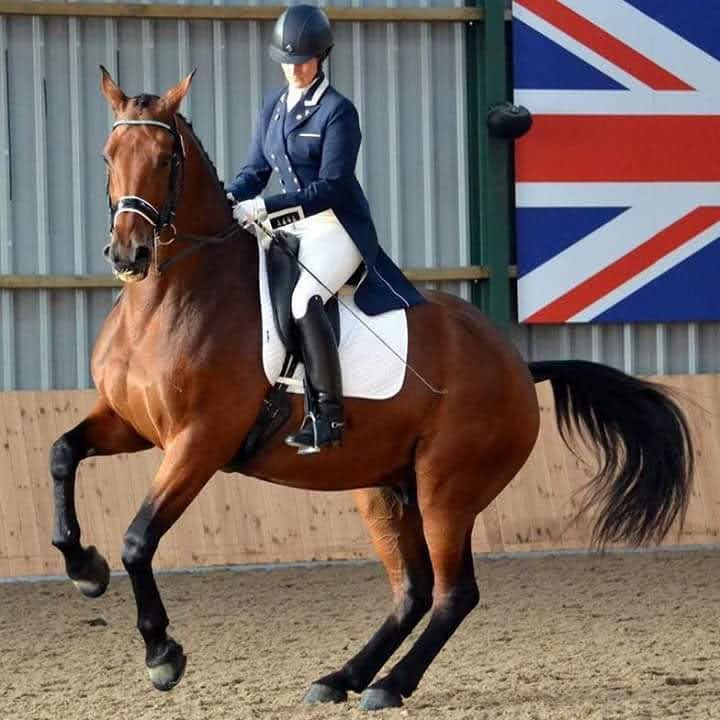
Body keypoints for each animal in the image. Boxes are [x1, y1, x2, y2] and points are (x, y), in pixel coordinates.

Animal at [48, 70, 694, 711]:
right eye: (108, 156)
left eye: (165, 159)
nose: (128, 253)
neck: (169, 299)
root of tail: (515, 361)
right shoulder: (131, 424)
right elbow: (62, 453)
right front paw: (84, 567)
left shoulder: (200, 443)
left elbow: (139, 540)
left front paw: (162, 653)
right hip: (383, 488)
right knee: (412, 590)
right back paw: (342, 677)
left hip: (447, 489)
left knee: (454, 592)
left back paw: (389, 684)